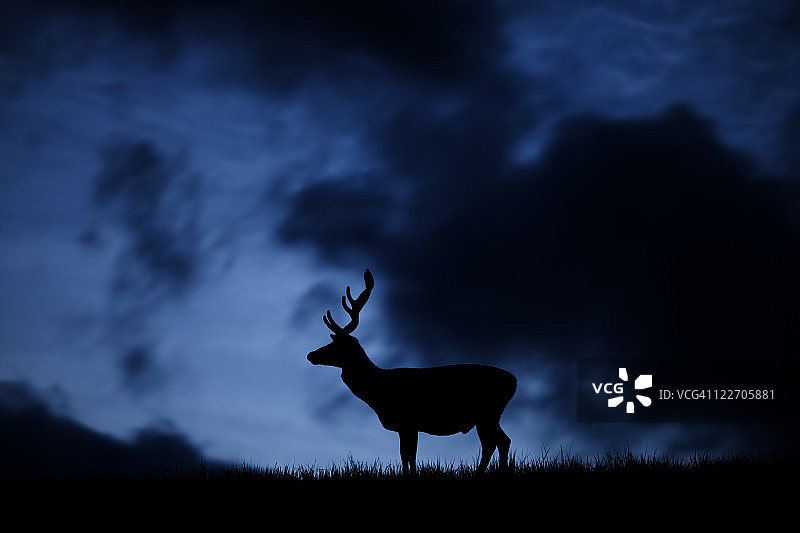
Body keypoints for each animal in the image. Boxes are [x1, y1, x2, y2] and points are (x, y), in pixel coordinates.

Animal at [307, 269, 517, 475]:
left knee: (496, 442)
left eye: (336, 345)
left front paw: (411, 476)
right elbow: (405, 455)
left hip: (488, 412)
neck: (377, 391)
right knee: (499, 441)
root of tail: (514, 381)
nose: (311, 354)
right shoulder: (405, 426)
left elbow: (409, 455)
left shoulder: (409, 421)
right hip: (488, 416)